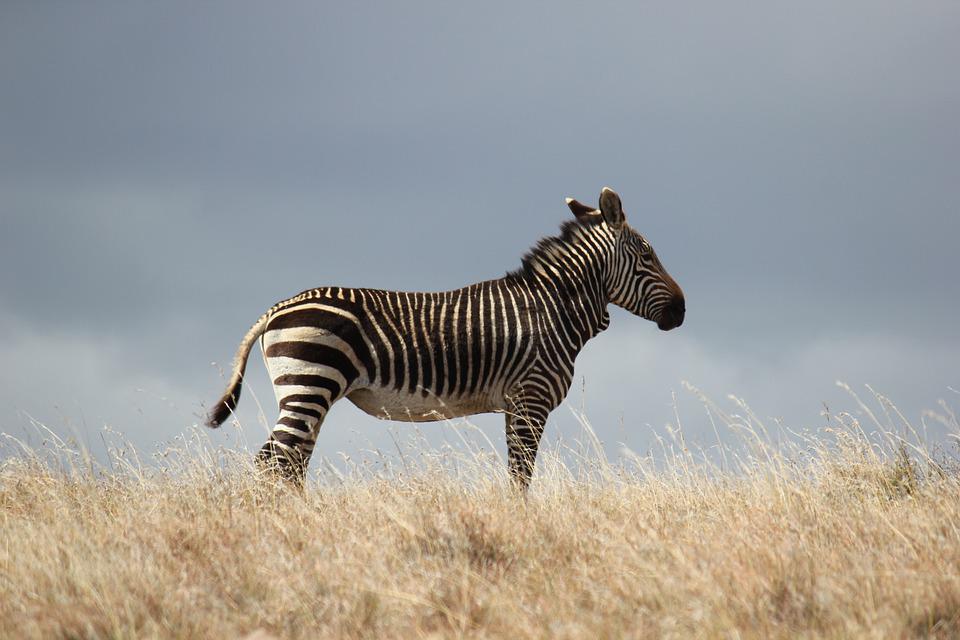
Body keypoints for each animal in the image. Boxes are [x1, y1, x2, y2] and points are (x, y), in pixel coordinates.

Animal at [205, 187, 685, 489]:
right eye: (647, 255)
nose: (682, 311)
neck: (552, 308)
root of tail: (276, 309)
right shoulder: (530, 398)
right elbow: (521, 474)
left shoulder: (515, 404)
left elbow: (516, 473)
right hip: (311, 382)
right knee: (274, 461)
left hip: (307, 391)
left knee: (290, 463)